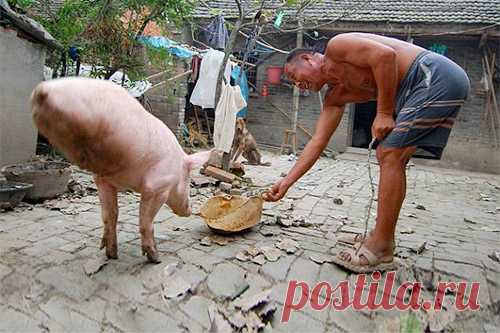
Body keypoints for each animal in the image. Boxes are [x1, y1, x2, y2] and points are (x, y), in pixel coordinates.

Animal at [31, 78, 211, 262]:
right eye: (189, 179)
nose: (190, 211)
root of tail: (43, 91)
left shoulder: (105, 182)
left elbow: (110, 215)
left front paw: (111, 254)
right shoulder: (156, 188)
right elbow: (145, 222)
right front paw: (155, 258)